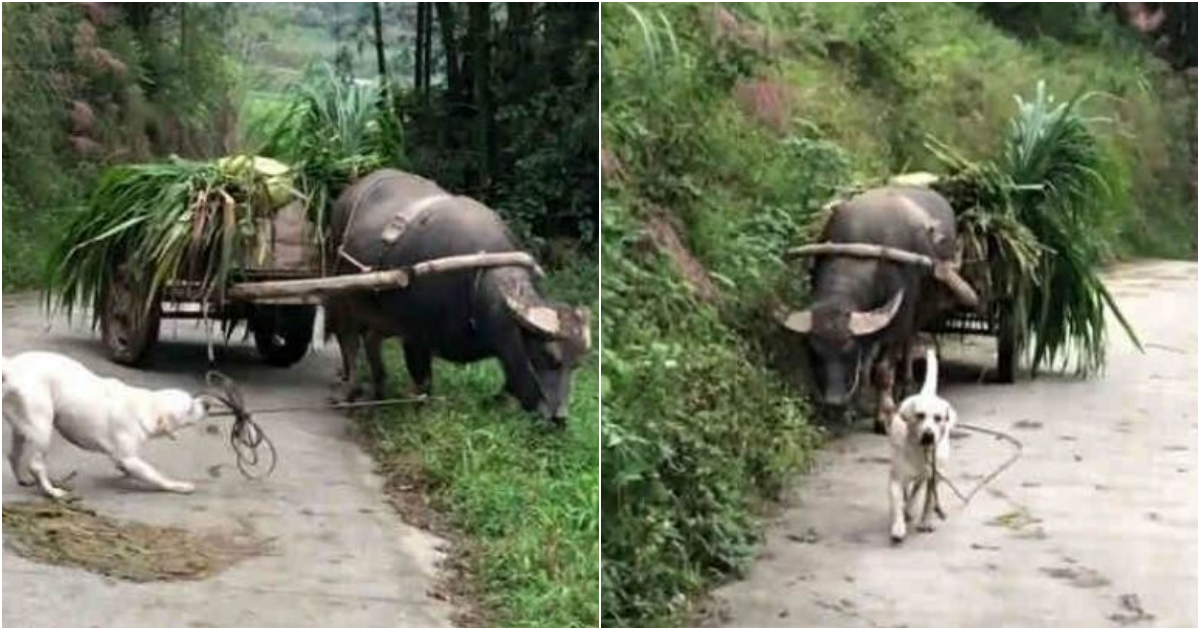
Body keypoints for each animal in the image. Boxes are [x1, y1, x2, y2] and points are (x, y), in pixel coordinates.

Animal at [0, 348, 210, 496]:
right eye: (190, 408)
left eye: (194, 399)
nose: (207, 404)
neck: (146, 406)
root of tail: (10, 367)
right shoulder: (130, 459)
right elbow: (157, 476)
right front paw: (178, 485)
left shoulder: (122, 457)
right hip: (42, 427)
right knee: (36, 465)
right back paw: (51, 491)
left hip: (22, 429)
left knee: (13, 455)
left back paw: (23, 479)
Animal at [324, 168, 590, 422]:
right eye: (549, 357)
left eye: (576, 364)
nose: (558, 418)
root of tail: (351, 190)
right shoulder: (415, 336)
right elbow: (423, 382)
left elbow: (508, 383)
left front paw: (492, 402)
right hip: (342, 290)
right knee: (347, 338)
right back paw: (349, 389)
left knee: (371, 340)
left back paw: (378, 388)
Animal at [777, 187, 974, 432]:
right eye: (814, 351)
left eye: (849, 350)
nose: (834, 400)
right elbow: (864, 368)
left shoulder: (899, 321)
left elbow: (882, 370)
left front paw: (884, 416)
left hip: (926, 305)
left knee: (910, 339)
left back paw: (906, 385)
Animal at [883, 345, 955, 542]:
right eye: (920, 415)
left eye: (938, 418)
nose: (928, 435)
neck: (920, 450)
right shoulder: (896, 478)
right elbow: (898, 502)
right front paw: (898, 526)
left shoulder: (934, 477)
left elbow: (928, 500)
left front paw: (926, 521)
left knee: (918, 487)